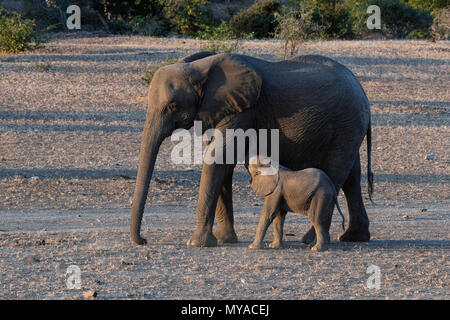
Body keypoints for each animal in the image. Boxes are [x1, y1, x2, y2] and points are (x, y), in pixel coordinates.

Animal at [130, 52, 372, 248]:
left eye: (173, 106)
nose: (144, 240)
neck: (199, 68)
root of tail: (363, 93)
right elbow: (223, 165)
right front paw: (225, 240)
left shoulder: (243, 110)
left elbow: (218, 158)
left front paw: (197, 244)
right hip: (350, 126)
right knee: (352, 176)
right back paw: (353, 237)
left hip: (345, 124)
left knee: (336, 172)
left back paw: (309, 240)